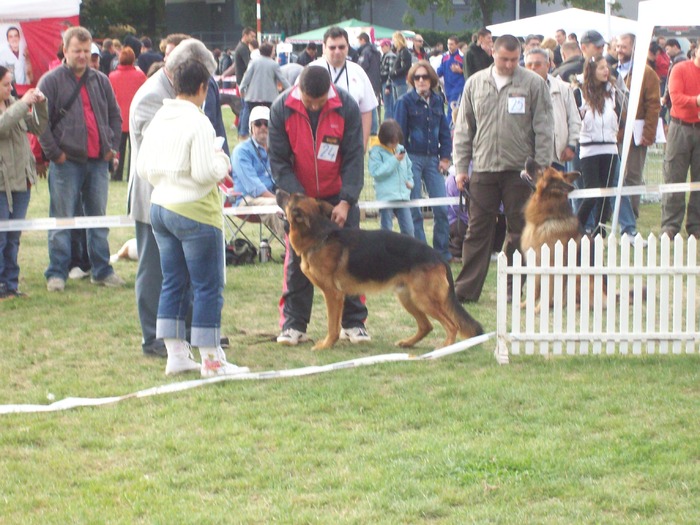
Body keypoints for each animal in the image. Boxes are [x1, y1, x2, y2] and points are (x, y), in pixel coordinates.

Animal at [276, 190, 484, 350]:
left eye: (290, 197)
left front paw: (326, 345)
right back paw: (408, 343)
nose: (277, 190)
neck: (319, 236)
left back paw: (445, 348)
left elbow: (332, 325)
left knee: (452, 325)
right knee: (427, 326)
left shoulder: (333, 295)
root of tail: (439, 256)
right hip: (408, 299)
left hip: (423, 300)